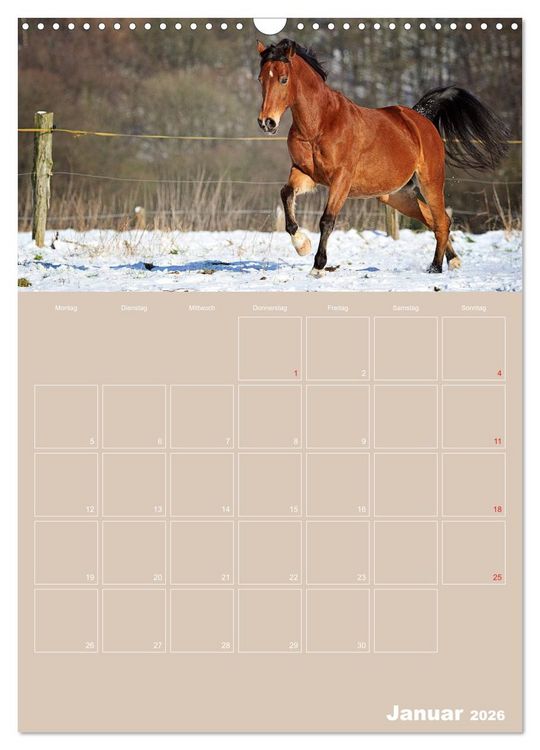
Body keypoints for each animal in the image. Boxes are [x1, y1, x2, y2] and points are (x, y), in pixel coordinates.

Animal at [257, 38, 510, 277]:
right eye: (260, 79)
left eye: (283, 79)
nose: (267, 122)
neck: (320, 124)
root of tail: (419, 118)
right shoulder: (304, 173)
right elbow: (286, 194)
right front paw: (302, 245)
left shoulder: (341, 179)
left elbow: (327, 220)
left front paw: (317, 267)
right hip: (397, 195)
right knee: (434, 219)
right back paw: (453, 261)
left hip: (430, 182)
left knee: (440, 221)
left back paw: (436, 267)